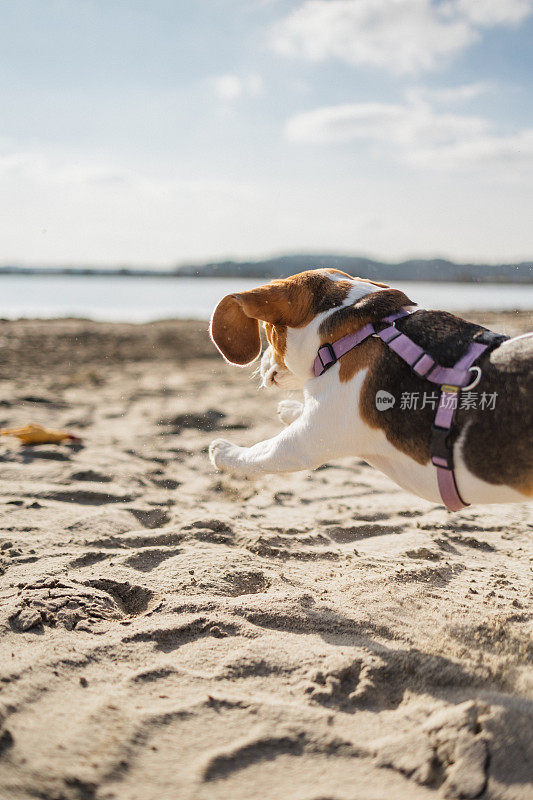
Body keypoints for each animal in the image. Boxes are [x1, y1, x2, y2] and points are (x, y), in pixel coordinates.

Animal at [207, 270, 528, 512]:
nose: (263, 363)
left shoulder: (306, 440)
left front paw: (224, 451)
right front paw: (291, 408)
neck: (354, 333)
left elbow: (261, 452)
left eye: (268, 331)